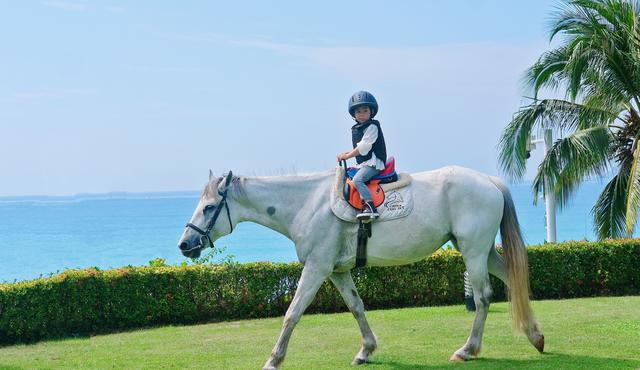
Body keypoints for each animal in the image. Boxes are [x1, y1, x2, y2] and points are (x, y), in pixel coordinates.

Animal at [179, 166, 544, 368]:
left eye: (209, 207)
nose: (185, 244)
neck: (306, 204)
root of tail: (489, 181)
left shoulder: (317, 268)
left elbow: (292, 313)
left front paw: (273, 359)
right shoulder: (337, 271)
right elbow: (356, 307)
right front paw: (366, 350)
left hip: (473, 251)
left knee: (482, 298)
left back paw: (468, 350)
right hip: (482, 252)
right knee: (512, 280)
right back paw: (535, 335)